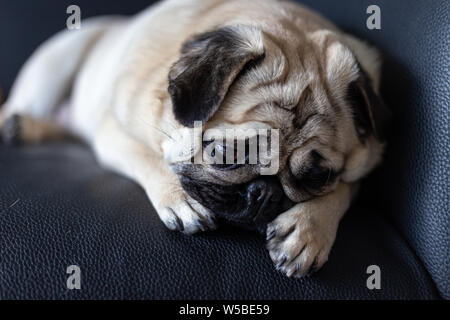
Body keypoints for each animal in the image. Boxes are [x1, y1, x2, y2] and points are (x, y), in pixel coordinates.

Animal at [0, 0, 388, 278]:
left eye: (317, 177)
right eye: (225, 154)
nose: (265, 193)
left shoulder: (364, 162)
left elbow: (344, 190)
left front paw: (308, 229)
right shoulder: (114, 132)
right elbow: (150, 158)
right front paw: (180, 199)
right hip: (58, 62)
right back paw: (18, 125)